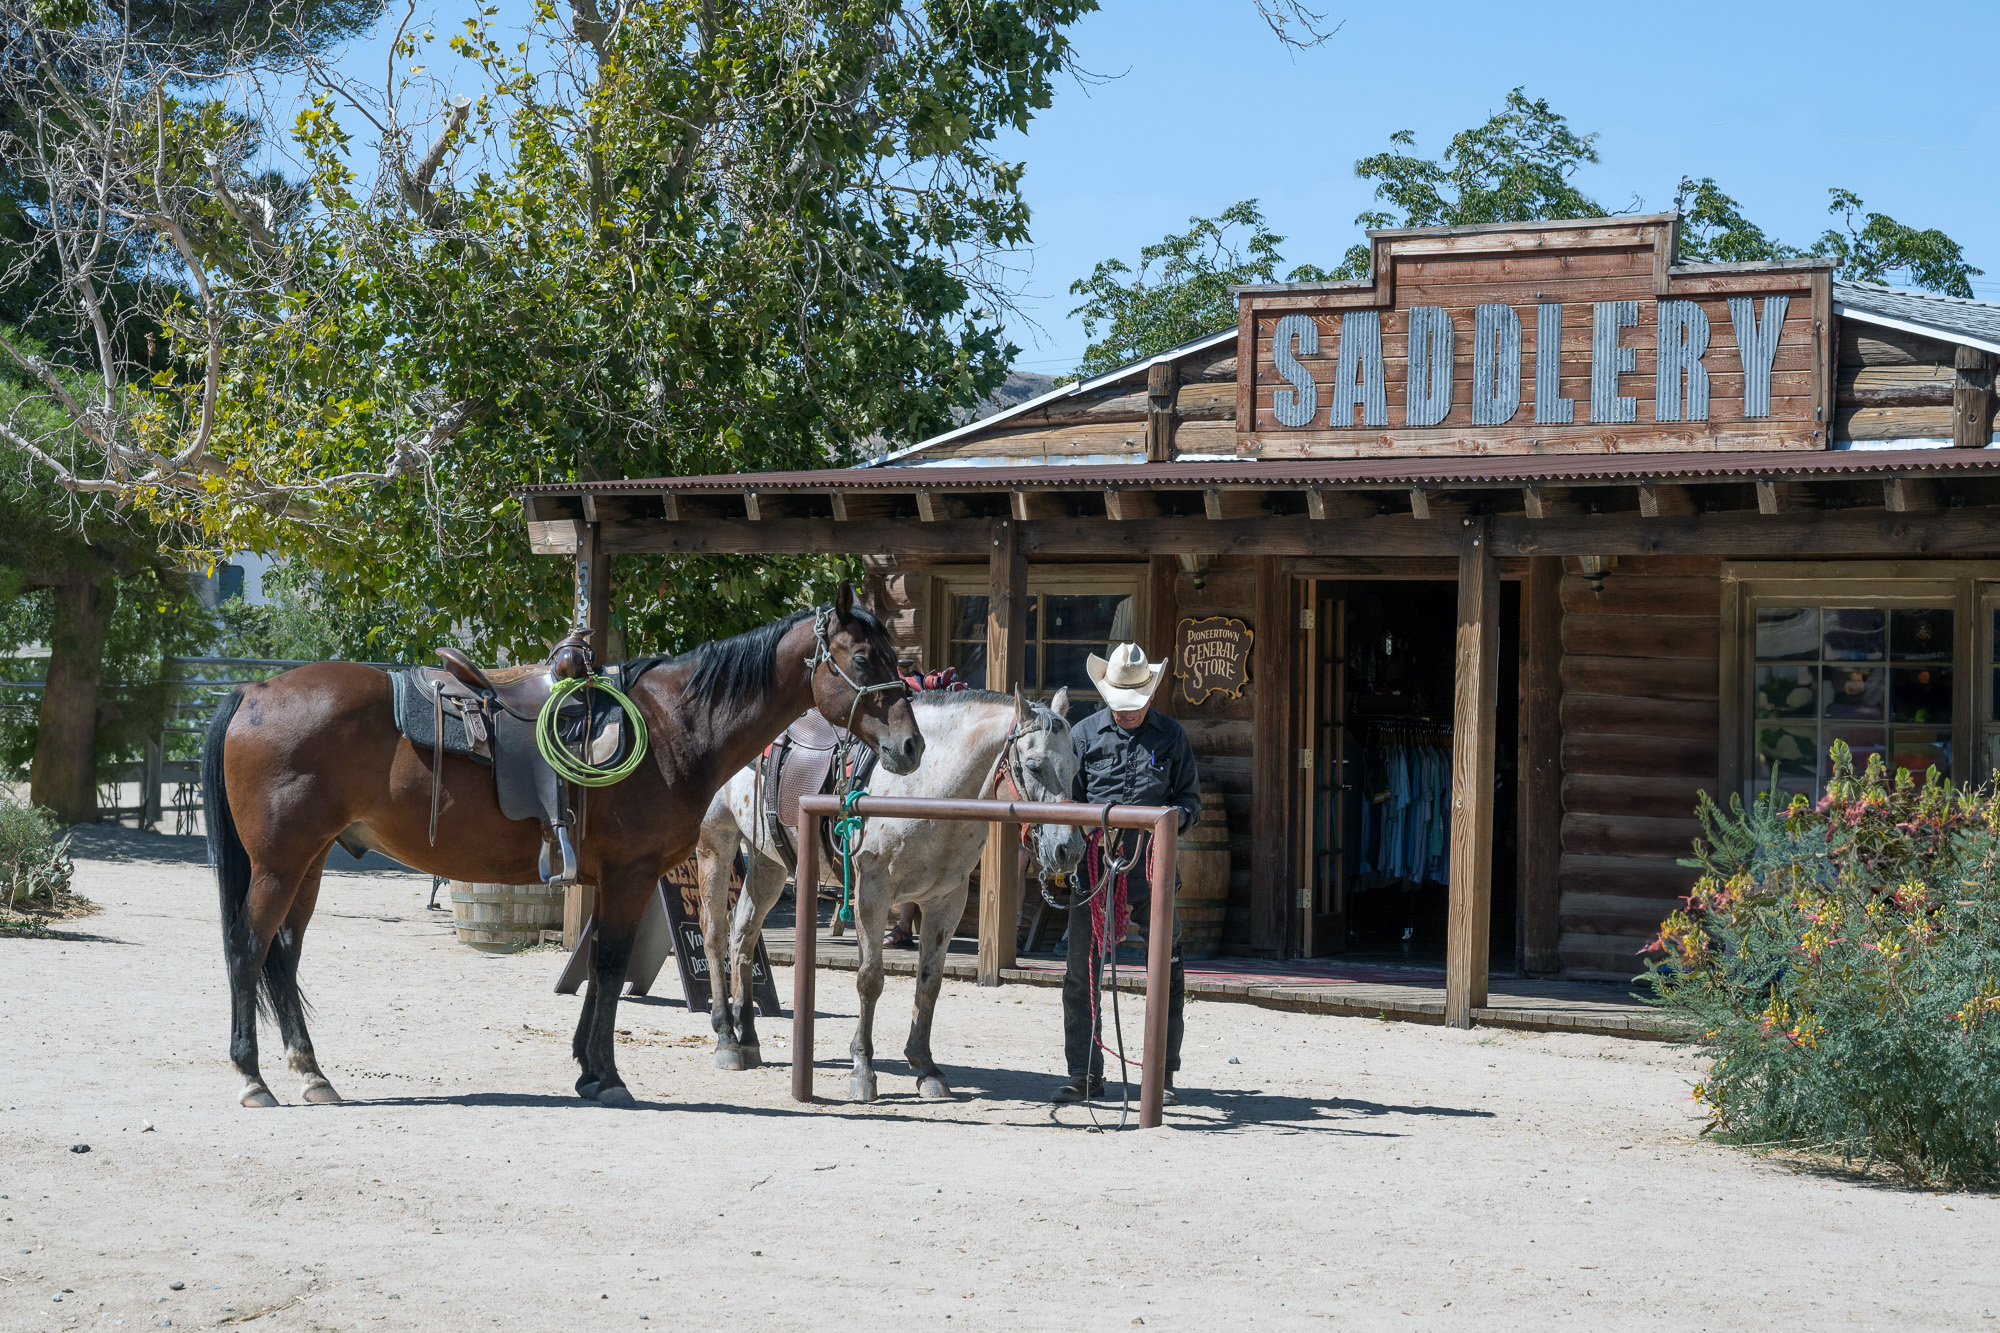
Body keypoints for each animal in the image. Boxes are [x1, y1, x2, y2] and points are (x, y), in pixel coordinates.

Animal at [200, 584, 921, 1109]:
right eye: (864, 659)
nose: (911, 745)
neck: (674, 725)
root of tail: (253, 691)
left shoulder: (613, 880)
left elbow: (603, 969)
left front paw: (587, 1069)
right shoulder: (632, 875)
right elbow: (608, 964)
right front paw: (608, 1075)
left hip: (309, 863)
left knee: (283, 957)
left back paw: (311, 1073)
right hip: (279, 864)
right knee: (246, 948)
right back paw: (253, 1077)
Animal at [696, 686, 1084, 1102]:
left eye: (1076, 765)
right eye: (1034, 766)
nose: (1069, 849)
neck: (926, 788)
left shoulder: (947, 900)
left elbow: (929, 982)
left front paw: (926, 1067)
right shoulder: (872, 893)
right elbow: (870, 979)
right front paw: (863, 1070)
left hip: (768, 861)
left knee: (743, 936)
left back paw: (748, 1039)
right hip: (715, 844)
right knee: (715, 934)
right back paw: (726, 1039)